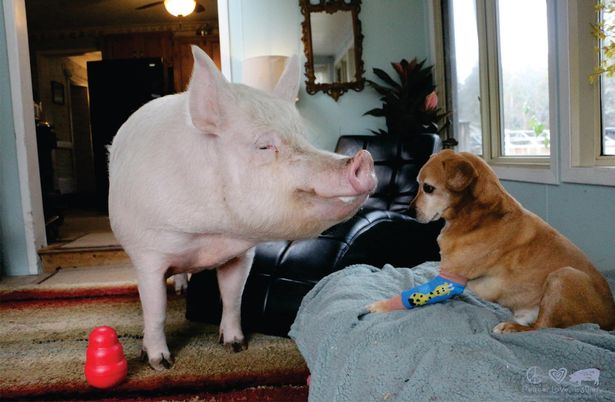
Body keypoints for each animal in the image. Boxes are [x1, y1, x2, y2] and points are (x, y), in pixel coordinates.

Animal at [108, 47, 378, 370]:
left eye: (304, 137)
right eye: (264, 146)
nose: (364, 159)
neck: (211, 235)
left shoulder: (242, 253)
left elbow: (233, 296)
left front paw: (235, 346)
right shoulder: (149, 252)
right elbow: (155, 310)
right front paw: (161, 363)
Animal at [370, 149, 615, 332]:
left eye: (428, 188)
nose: (408, 212)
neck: (477, 215)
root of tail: (610, 318)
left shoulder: (450, 279)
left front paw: (376, 306)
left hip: (563, 276)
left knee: (543, 326)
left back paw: (511, 327)